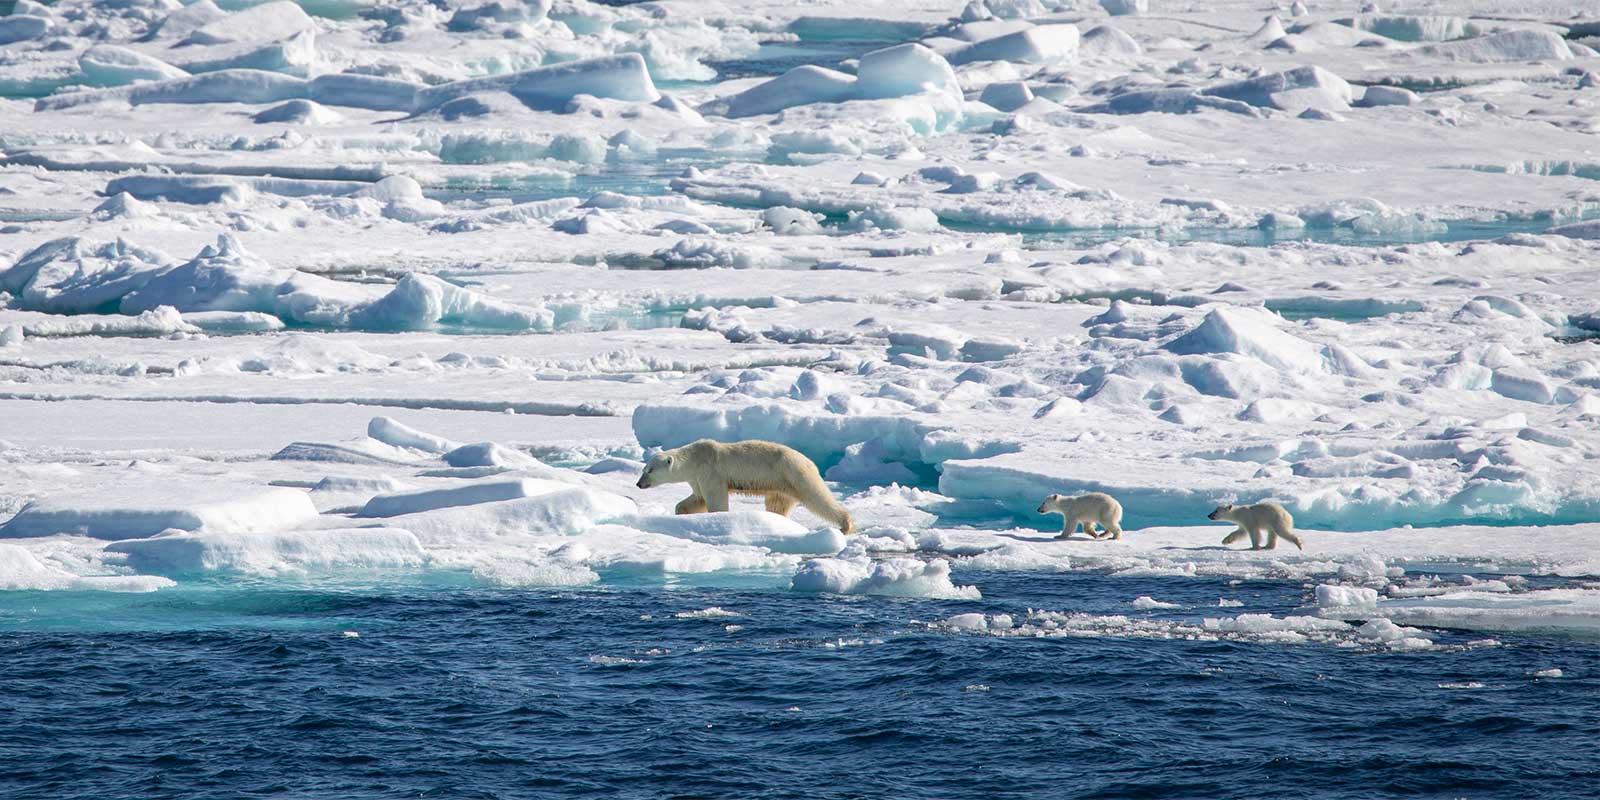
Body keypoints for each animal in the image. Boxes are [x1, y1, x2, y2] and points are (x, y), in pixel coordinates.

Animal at [635, 439, 855, 534]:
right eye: (644, 468)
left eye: (650, 470)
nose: (639, 484)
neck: (695, 458)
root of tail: (811, 462)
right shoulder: (697, 477)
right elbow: (697, 499)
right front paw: (683, 513)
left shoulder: (711, 472)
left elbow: (715, 499)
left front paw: (719, 519)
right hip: (781, 485)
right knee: (777, 505)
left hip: (794, 474)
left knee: (817, 497)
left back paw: (845, 524)